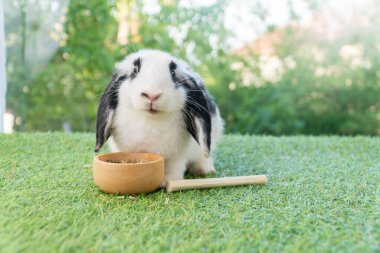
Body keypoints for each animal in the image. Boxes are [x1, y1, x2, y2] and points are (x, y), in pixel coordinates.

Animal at [95, 49, 224, 186]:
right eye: (135, 70)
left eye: (173, 73)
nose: (152, 95)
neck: (150, 120)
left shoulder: (177, 156)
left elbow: (174, 167)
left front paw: (167, 181)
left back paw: (204, 170)